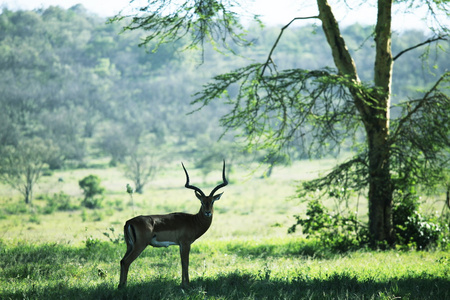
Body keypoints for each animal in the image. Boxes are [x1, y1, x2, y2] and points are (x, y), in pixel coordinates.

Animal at [118, 159, 229, 288]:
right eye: (201, 202)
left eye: (212, 202)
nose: (207, 212)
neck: (193, 221)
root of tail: (128, 222)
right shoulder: (185, 243)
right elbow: (185, 262)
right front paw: (187, 285)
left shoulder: (180, 245)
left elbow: (182, 262)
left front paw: (182, 284)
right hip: (140, 245)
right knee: (126, 262)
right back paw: (123, 287)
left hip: (130, 246)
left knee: (122, 261)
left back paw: (120, 286)